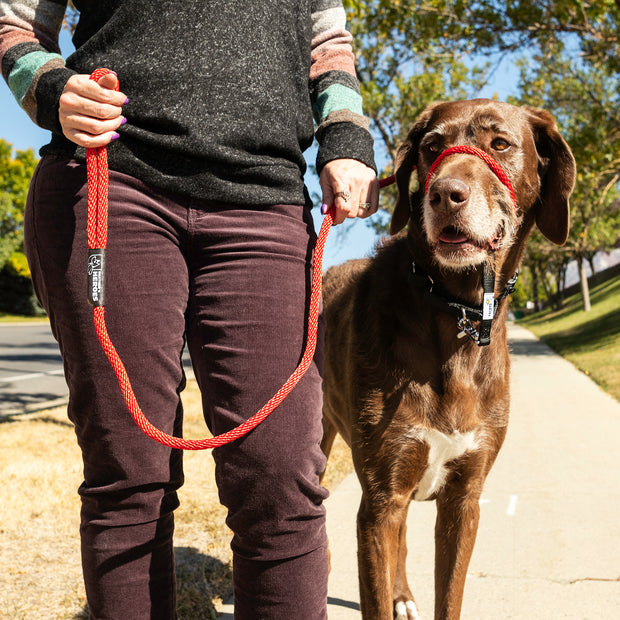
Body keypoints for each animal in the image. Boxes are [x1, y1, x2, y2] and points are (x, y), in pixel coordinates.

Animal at [320, 101, 576, 620]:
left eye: (500, 144)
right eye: (431, 146)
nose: (445, 195)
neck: (454, 308)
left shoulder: (464, 498)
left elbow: (449, 593)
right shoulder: (381, 498)